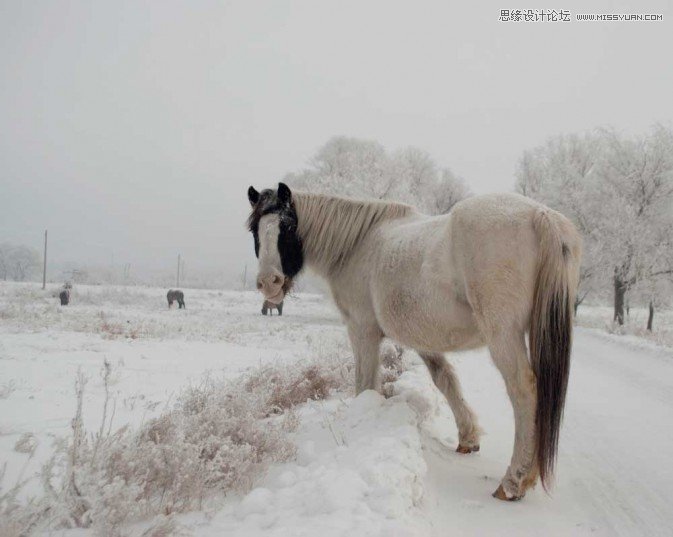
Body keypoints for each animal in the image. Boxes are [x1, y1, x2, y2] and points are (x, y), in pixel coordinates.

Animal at [244, 182, 580, 500]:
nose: (269, 283)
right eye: (254, 229)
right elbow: (445, 379)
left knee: (524, 390)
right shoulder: (421, 338)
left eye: (288, 226)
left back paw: (514, 482)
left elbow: (365, 384)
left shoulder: (362, 331)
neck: (357, 245)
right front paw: (468, 438)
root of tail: (541, 215)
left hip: (504, 335)